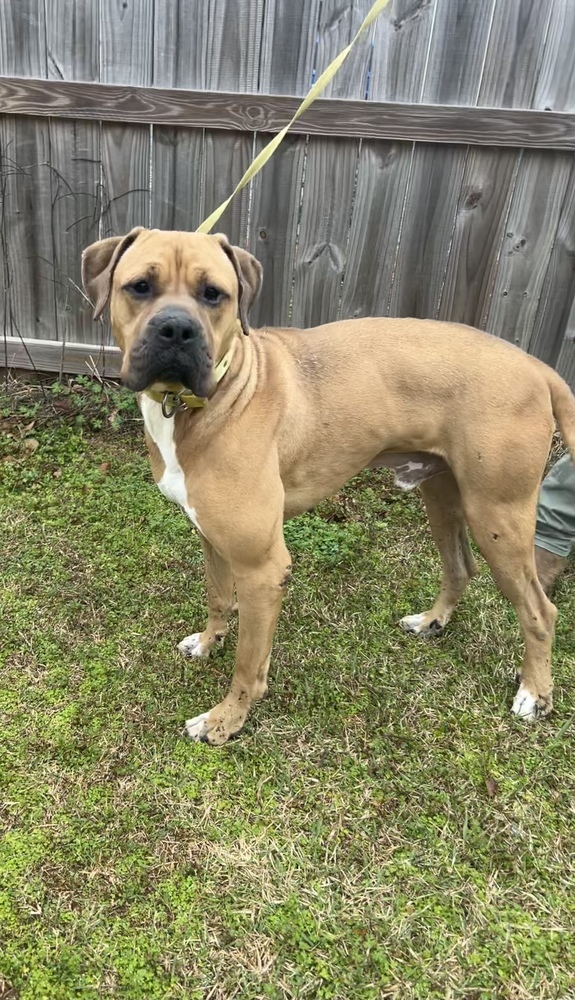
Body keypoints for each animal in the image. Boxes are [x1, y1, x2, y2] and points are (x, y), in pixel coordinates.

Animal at [82, 227, 575, 744]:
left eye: (213, 294)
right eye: (139, 286)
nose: (177, 330)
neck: (209, 397)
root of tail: (538, 367)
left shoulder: (262, 568)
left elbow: (248, 664)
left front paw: (226, 720)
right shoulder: (212, 537)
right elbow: (218, 598)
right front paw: (207, 642)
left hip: (498, 516)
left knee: (540, 611)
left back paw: (535, 693)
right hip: (443, 496)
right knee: (460, 566)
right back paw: (432, 621)